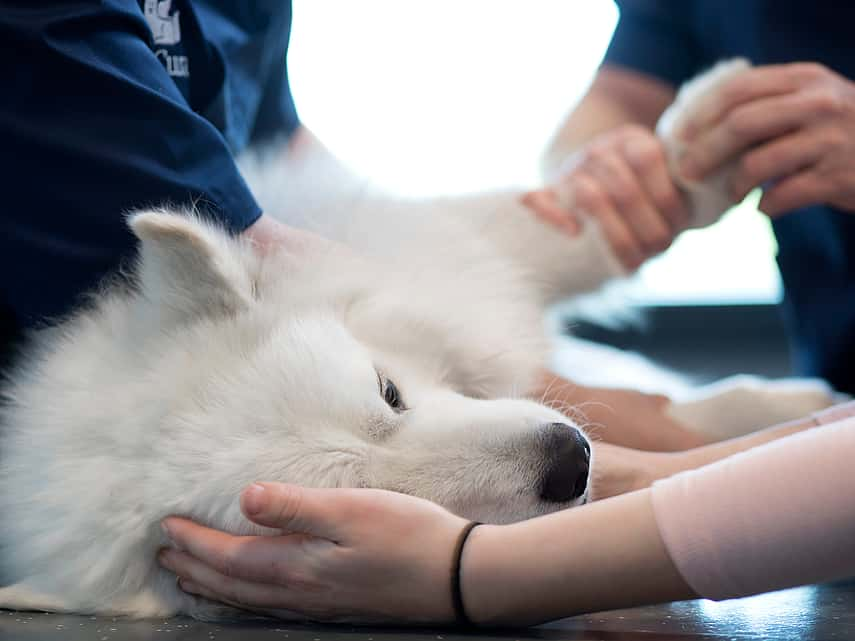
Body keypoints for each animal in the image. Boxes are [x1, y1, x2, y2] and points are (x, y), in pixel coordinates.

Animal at [0, 60, 836, 616]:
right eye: (366, 503)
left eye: (389, 390)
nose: (570, 461)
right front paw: (790, 412)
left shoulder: (440, 250)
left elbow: (569, 229)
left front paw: (708, 139)